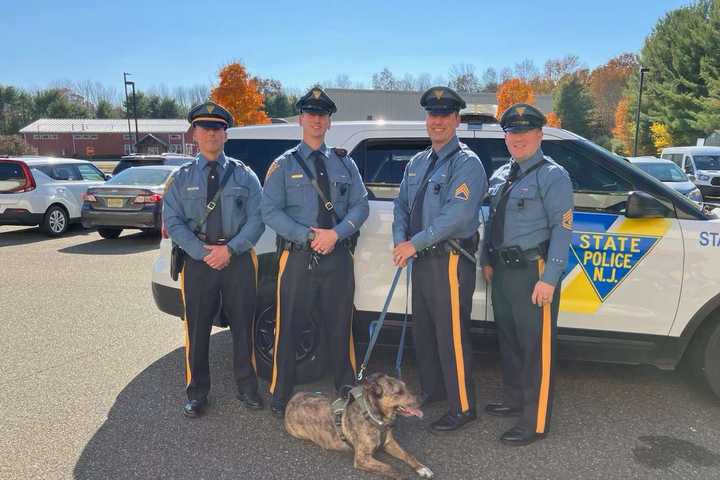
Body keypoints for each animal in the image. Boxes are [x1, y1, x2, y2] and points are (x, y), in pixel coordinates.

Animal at [286, 374, 434, 478]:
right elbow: (391, 468)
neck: (375, 416)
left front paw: (422, 468)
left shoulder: (389, 443)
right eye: (398, 392)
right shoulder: (363, 458)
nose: (424, 397)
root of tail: (292, 399)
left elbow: (409, 455)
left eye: (406, 386)